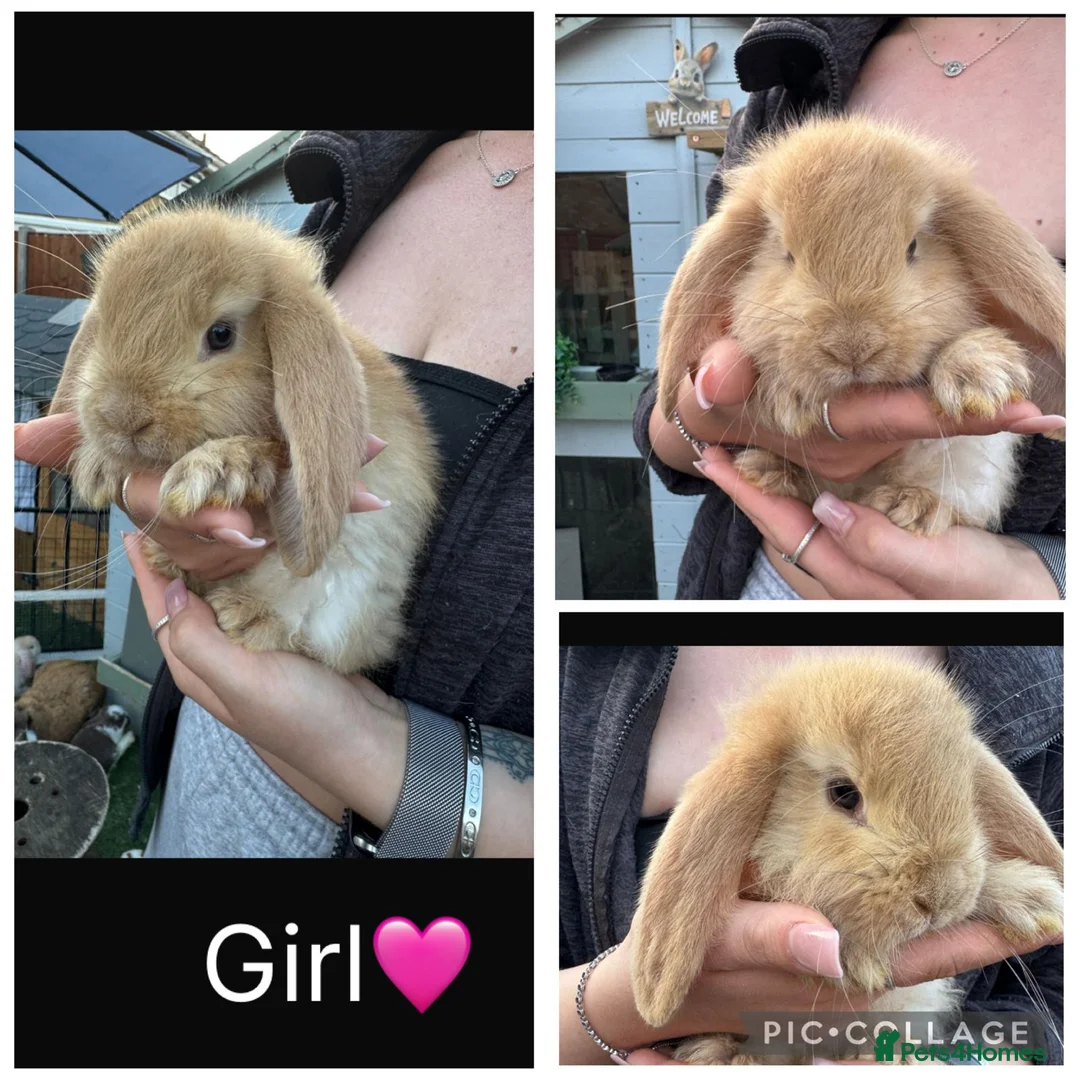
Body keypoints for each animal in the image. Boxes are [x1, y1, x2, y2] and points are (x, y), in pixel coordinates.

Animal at [49, 204, 440, 674]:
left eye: (221, 334)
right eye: (104, 322)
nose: (122, 417)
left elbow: (274, 450)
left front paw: (217, 469)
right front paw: (97, 465)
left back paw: (245, 613)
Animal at [656, 113, 1065, 536]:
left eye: (913, 247)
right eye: (787, 254)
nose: (853, 349)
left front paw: (977, 378)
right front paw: (786, 394)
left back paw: (911, 505)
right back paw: (767, 471)